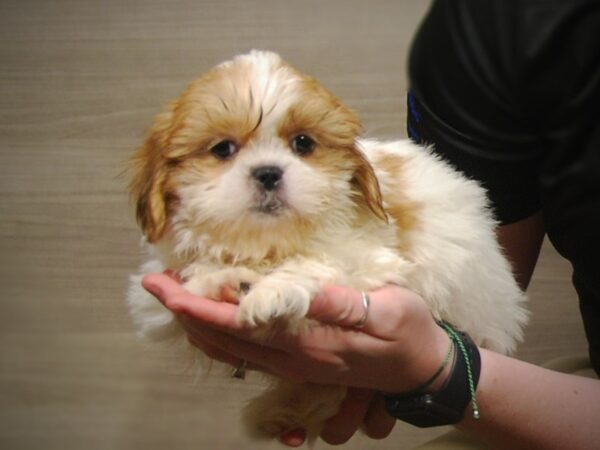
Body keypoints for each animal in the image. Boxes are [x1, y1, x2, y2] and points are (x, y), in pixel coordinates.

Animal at [125, 51, 524, 442]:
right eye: (222, 149)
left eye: (303, 143)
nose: (268, 172)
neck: (270, 242)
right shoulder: (153, 291)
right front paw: (222, 278)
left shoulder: (376, 259)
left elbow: (323, 263)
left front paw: (272, 292)